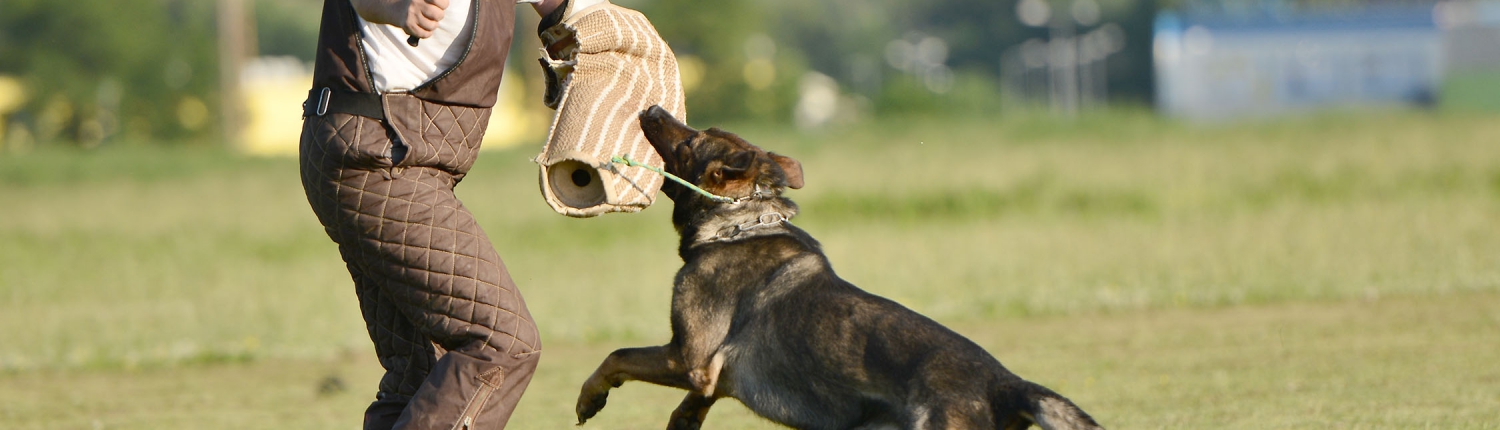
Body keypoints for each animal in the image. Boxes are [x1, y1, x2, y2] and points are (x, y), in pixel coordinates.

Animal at [573, 105, 1104, 430]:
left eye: (689, 144)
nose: (653, 110)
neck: (741, 224)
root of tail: (1005, 383)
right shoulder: (710, 377)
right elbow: (686, 409)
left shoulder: (688, 359)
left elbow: (616, 356)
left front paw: (589, 397)